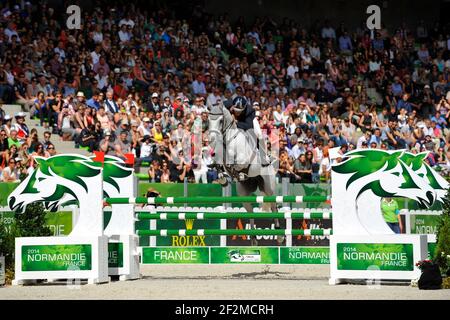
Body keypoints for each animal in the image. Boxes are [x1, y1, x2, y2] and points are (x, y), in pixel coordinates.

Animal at [208, 102, 284, 245]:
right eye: (208, 120)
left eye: (220, 120)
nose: (212, 139)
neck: (228, 140)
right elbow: (218, 165)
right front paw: (223, 179)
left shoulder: (243, 160)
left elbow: (237, 164)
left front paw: (238, 174)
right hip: (244, 195)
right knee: (250, 212)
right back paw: (254, 240)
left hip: (269, 188)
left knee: (274, 206)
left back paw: (280, 235)